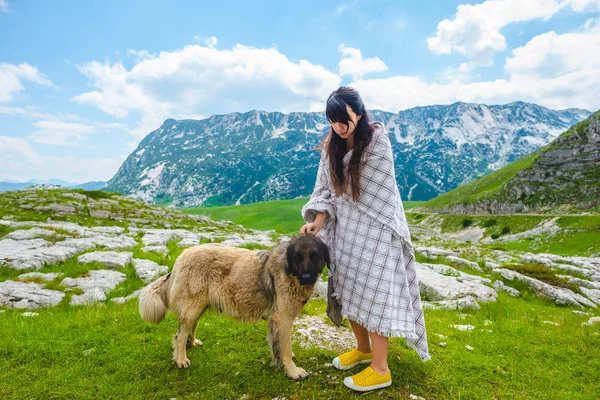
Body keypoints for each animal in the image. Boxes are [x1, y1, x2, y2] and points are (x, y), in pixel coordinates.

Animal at [138, 233, 330, 380]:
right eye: (297, 257)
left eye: (315, 256)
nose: (307, 277)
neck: (289, 271)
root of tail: (181, 257)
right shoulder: (283, 317)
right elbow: (286, 348)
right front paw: (292, 371)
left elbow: (278, 344)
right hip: (194, 305)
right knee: (180, 334)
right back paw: (181, 359)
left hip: (200, 305)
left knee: (191, 326)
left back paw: (191, 343)